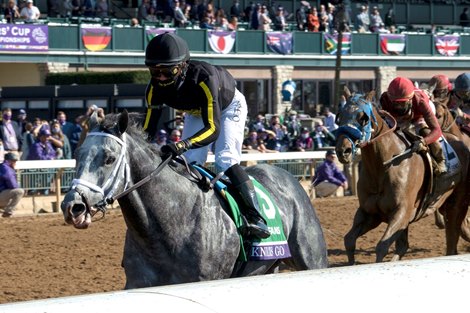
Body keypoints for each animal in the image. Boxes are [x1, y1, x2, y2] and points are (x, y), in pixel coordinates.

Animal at [60, 109, 328, 288]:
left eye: (109, 158)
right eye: (78, 153)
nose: (73, 206)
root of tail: (288, 177)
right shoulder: (138, 284)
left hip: (312, 260)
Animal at [336, 90, 468, 264]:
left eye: (363, 117)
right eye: (339, 116)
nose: (342, 151)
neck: (383, 166)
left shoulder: (401, 212)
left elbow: (382, 246)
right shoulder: (370, 213)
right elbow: (349, 240)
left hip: (456, 204)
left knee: (453, 239)